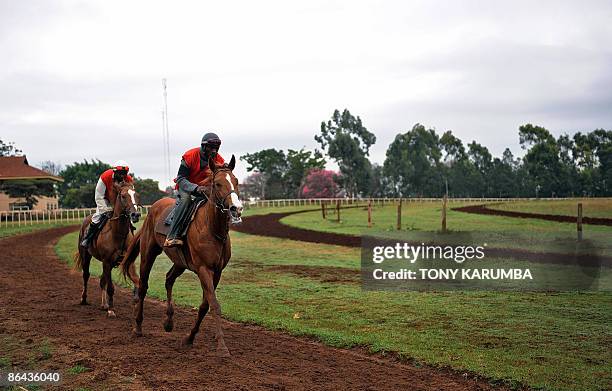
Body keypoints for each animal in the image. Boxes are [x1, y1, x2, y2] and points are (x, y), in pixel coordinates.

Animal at [74, 182, 141, 320]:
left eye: (136, 195)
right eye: (123, 196)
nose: (135, 215)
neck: (118, 233)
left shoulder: (129, 262)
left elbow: (137, 282)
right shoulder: (107, 262)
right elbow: (110, 287)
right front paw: (111, 310)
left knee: (102, 280)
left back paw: (104, 304)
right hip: (85, 256)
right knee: (86, 275)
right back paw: (84, 299)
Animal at [120, 155, 243, 356]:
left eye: (236, 181)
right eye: (217, 183)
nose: (236, 208)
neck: (212, 228)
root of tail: (153, 208)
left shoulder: (217, 271)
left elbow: (205, 306)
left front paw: (189, 338)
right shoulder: (203, 269)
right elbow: (214, 305)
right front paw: (222, 346)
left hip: (179, 262)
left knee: (169, 279)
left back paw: (169, 321)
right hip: (148, 253)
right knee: (143, 286)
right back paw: (137, 327)